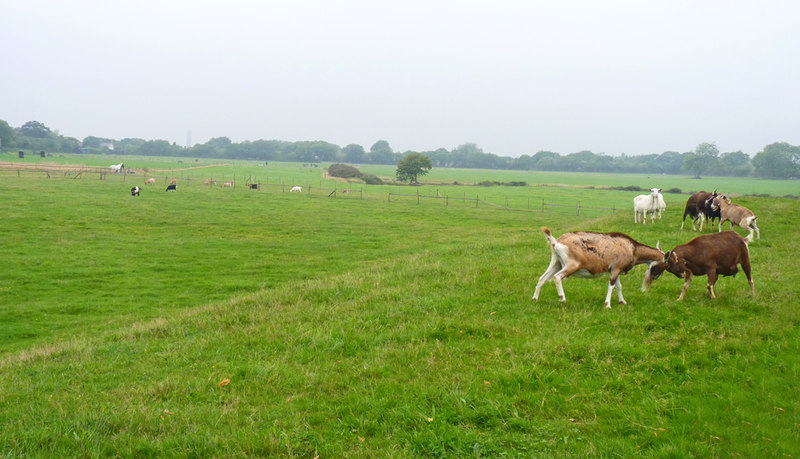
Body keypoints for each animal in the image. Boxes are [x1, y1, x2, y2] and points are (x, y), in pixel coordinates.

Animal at [532, 227, 664, 310]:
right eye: (665, 264)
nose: (655, 277)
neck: (633, 249)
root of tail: (556, 242)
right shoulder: (616, 269)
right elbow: (611, 286)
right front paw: (607, 305)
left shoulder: (615, 269)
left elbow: (619, 286)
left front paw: (623, 302)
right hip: (571, 265)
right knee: (557, 277)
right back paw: (562, 298)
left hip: (556, 262)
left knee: (542, 278)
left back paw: (535, 299)